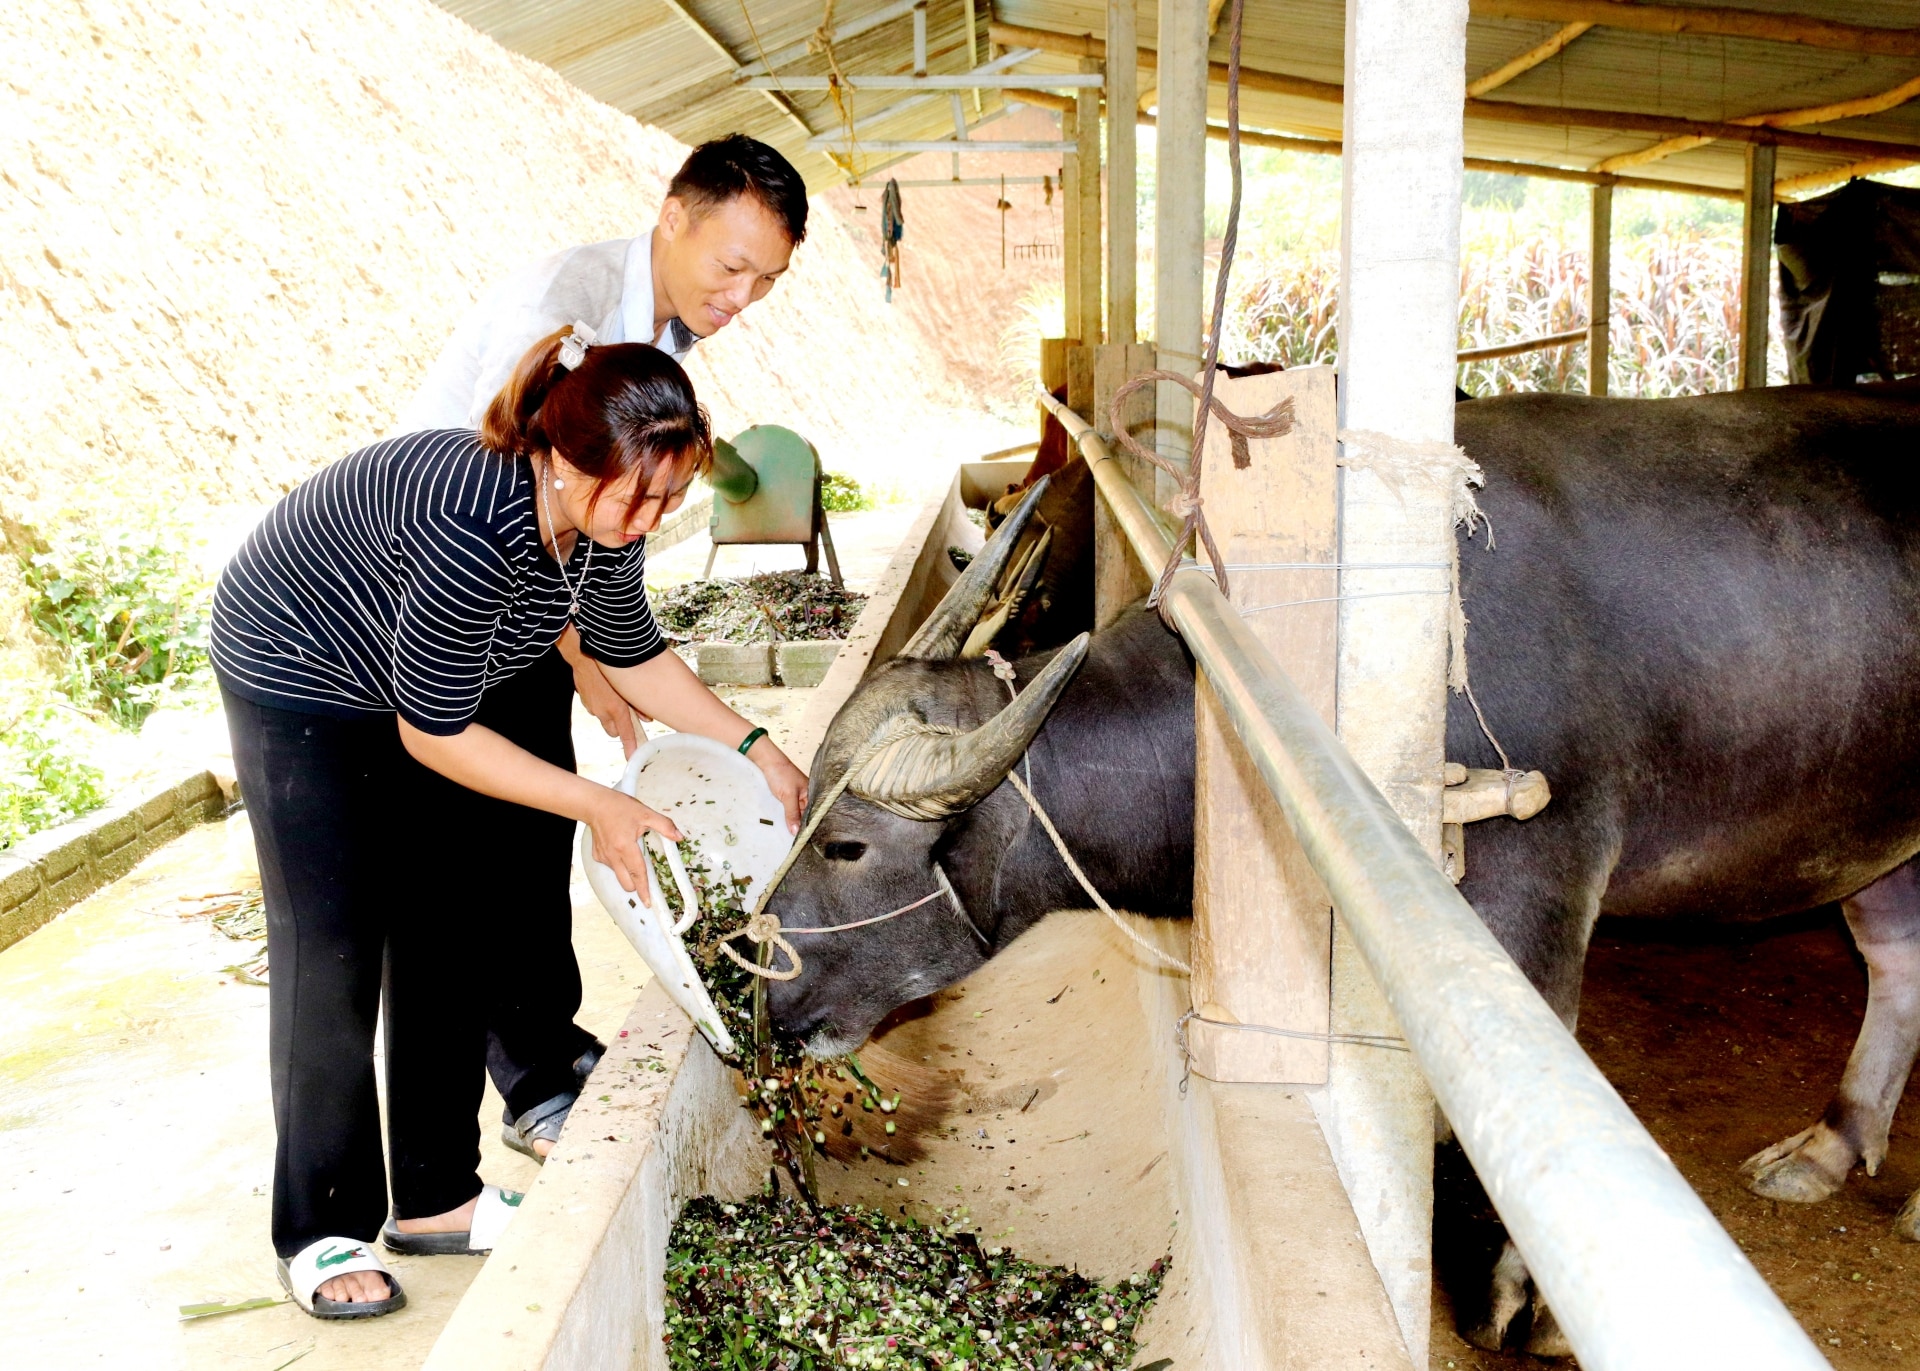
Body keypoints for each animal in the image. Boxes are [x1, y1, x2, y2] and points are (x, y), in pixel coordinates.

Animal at [760, 382, 1920, 1344]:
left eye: (851, 843)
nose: (767, 991)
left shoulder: (1532, 890)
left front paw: (1509, 1302)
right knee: (1897, 963)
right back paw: (1826, 1149)